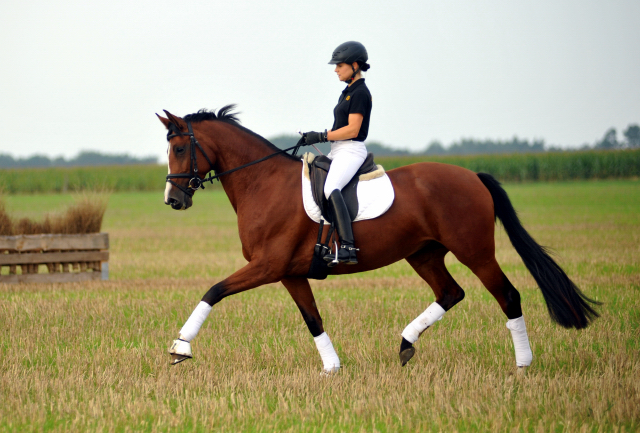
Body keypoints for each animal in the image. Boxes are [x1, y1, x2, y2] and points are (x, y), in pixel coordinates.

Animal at [158, 106, 596, 372]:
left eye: (179, 148)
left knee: (507, 295)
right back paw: (405, 343)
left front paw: (181, 347)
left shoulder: (267, 265)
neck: (262, 183)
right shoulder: (289, 273)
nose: (173, 200)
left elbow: (214, 291)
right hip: (423, 254)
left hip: (475, 251)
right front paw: (332, 368)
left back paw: (523, 364)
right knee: (450, 293)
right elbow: (312, 319)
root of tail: (472, 176)